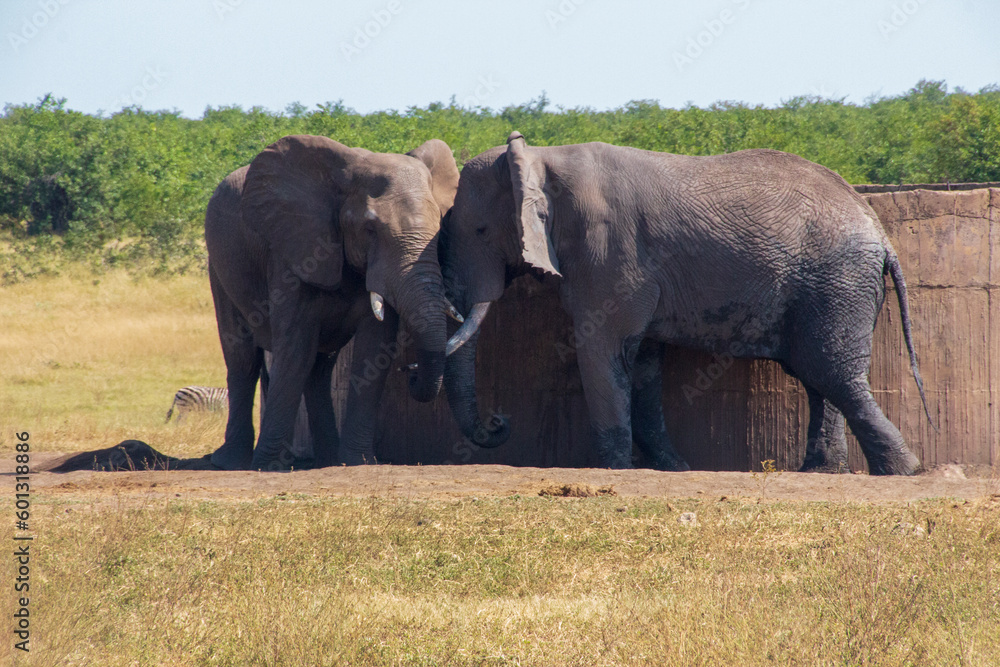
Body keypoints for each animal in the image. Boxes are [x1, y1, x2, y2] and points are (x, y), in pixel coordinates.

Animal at [207, 134, 464, 470]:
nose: (411, 371)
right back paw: (231, 462)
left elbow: (374, 351)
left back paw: (327, 459)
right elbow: (295, 348)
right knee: (243, 358)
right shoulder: (293, 250)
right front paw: (267, 466)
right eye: (370, 229)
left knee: (319, 368)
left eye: (440, 227)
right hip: (219, 265)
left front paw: (360, 463)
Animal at [442, 131, 933, 475]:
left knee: (830, 370)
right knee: (819, 376)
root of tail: (880, 231)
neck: (542, 156)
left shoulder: (609, 253)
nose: (499, 422)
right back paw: (823, 471)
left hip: (837, 282)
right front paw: (673, 467)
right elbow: (641, 360)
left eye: (481, 230)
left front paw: (613, 468)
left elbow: (602, 347)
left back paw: (901, 470)